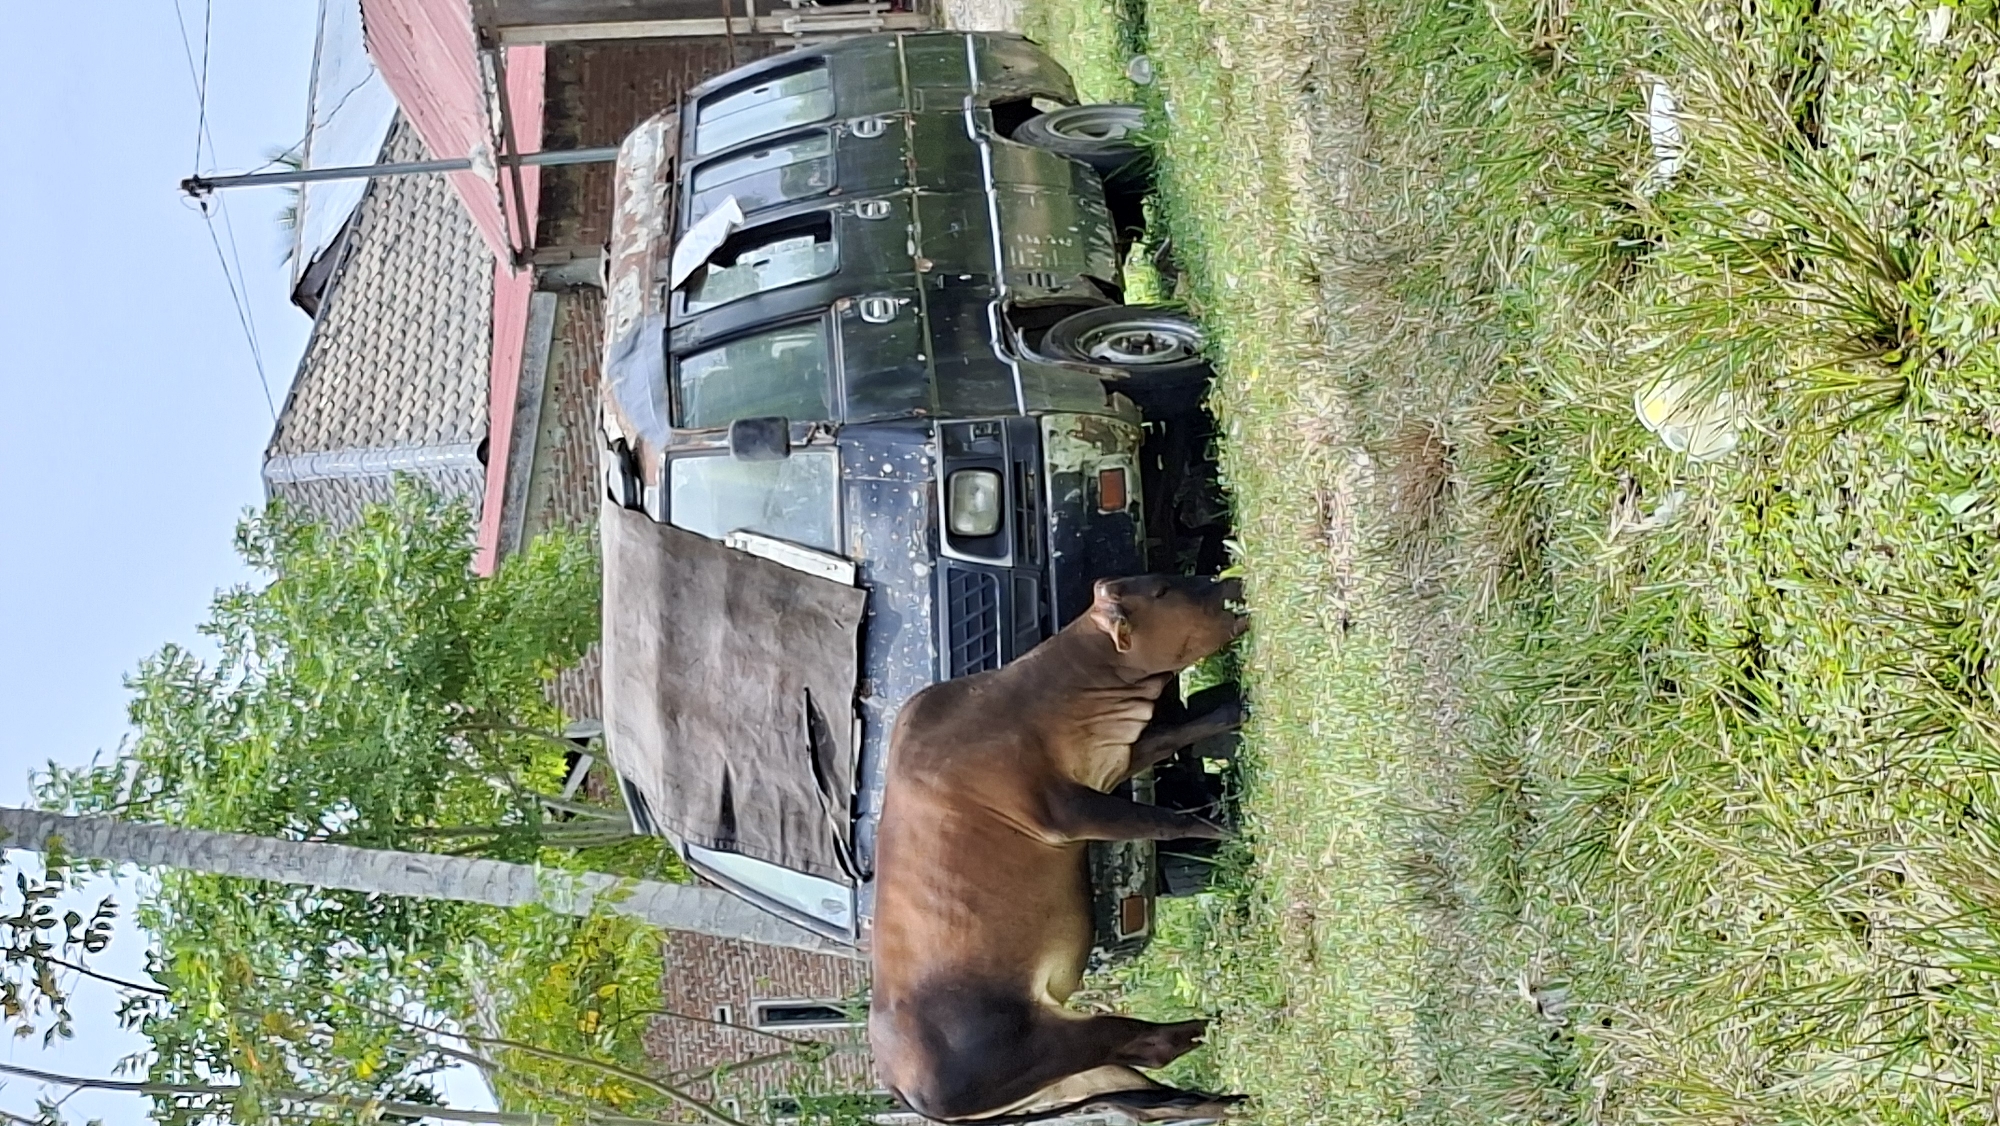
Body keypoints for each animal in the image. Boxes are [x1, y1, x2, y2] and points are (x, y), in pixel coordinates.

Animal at [869, 574, 1250, 1123]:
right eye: (1159, 592)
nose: (1232, 582)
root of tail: (900, 1087)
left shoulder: (1115, 759)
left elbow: (1181, 729)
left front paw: (1235, 705)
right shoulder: (1068, 811)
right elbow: (1166, 822)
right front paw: (1228, 833)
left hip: (1074, 1080)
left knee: (1155, 1098)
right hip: (1056, 1045)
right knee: (1148, 1045)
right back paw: (1224, 1021)